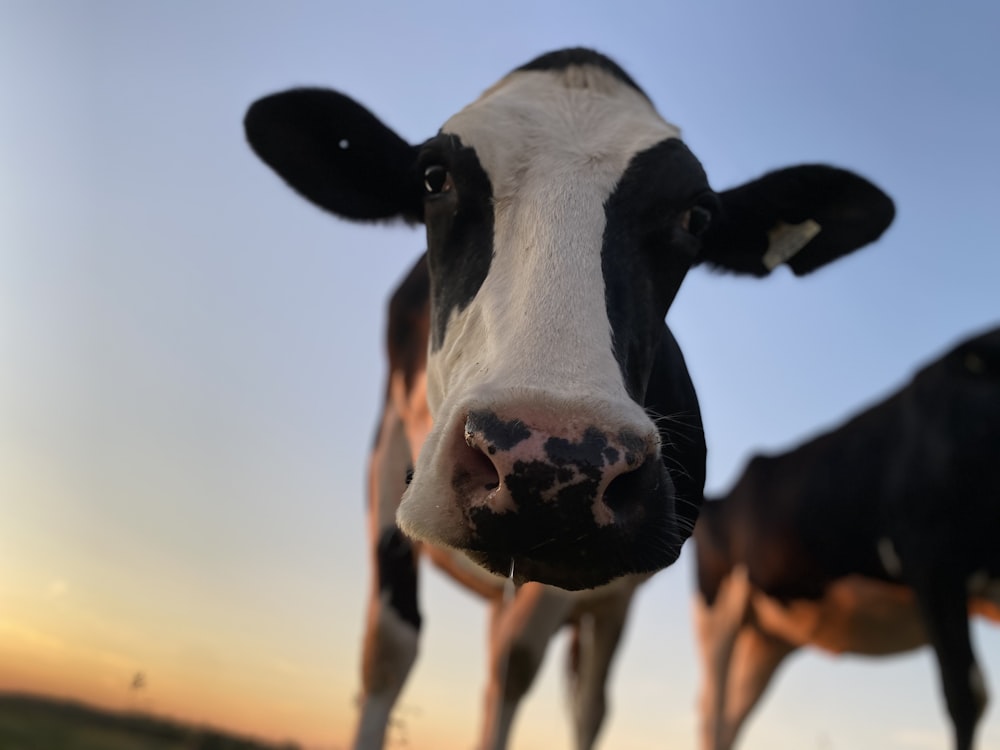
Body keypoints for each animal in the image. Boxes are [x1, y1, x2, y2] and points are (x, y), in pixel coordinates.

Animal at [244, 48, 892, 750]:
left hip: (620, 603)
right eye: (435, 178)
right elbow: (390, 651)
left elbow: (516, 665)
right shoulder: (388, 454)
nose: (554, 462)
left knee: (585, 700)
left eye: (697, 216)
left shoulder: (577, 556)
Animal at [696, 328, 1000, 750]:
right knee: (714, 714)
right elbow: (965, 695)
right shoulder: (932, 561)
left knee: (732, 718)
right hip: (718, 611)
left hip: (767, 637)